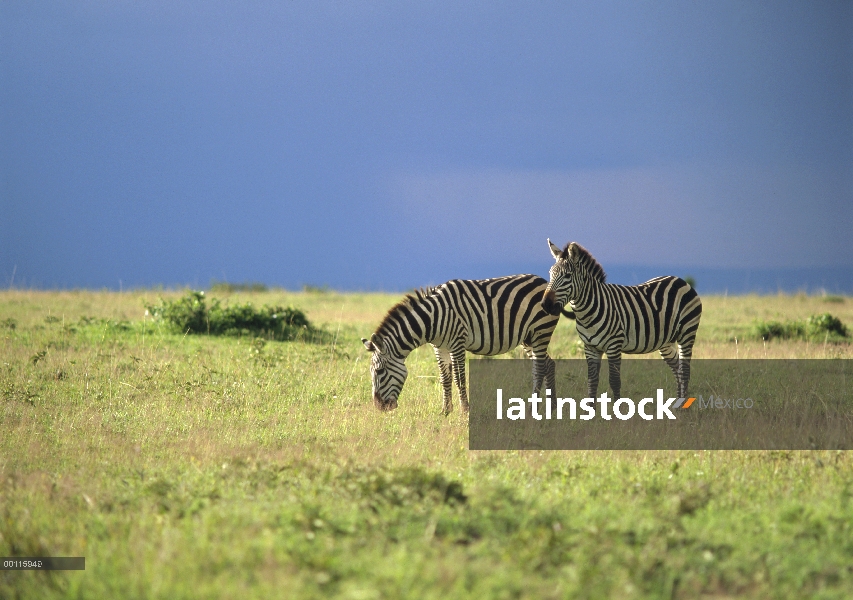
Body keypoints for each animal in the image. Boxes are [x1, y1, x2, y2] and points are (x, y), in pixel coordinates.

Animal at [360, 276, 572, 412]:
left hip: (541, 332)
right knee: (548, 364)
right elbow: (444, 378)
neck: (432, 318)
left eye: (379, 371)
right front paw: (445, 411)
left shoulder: (457, 343)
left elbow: (459, 378)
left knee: (540, 367)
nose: (379, 408)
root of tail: (543, 281)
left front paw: (464, 411)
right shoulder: (440, 348)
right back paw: (552, 407)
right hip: (528, 338)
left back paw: (531, 409)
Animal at [544, 240, 704, 404]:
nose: (545, 304)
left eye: (567, 276)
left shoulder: (614, 345)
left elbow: (614, 381)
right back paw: (678, 404)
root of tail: (680, 280)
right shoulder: (590, 347)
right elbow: (592, 381)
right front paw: (591, 409)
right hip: (665, 341)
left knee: (685, 370)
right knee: (677, 368)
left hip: (687, 333)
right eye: (550, 274)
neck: (589, 312)